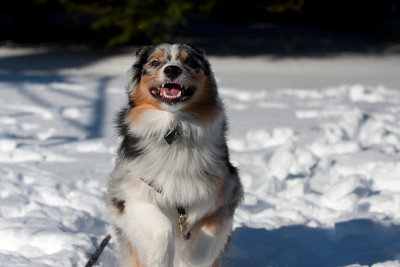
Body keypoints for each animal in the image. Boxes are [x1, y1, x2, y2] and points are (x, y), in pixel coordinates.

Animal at [108, 43, 242, 266]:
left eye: (189, 61)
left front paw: (191, 258)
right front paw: (159, 259)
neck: (174, 127)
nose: (172, 70)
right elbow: (161, 230)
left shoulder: (224, 192)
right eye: (155, 62)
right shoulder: (130, 196)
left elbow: (205, 242)